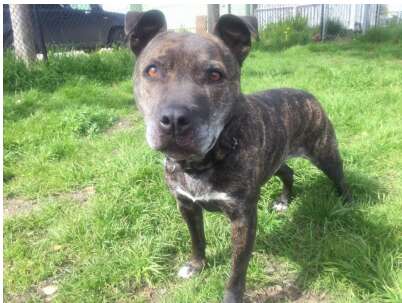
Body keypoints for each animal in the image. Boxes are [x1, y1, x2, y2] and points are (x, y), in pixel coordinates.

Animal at [124, 10, 350, 303]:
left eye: (215, 75)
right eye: (152, 70)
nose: (174, 119)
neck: (201, 162)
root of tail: (306, 94)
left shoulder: (243, 220)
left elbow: (237, 270)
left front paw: (231, 296)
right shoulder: (186, 206)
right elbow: (197, 239)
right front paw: (195, 266)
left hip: (324, 151)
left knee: (339, 175)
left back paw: (347, 201)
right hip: (274, 159)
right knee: (288, 171)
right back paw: (284, 201)